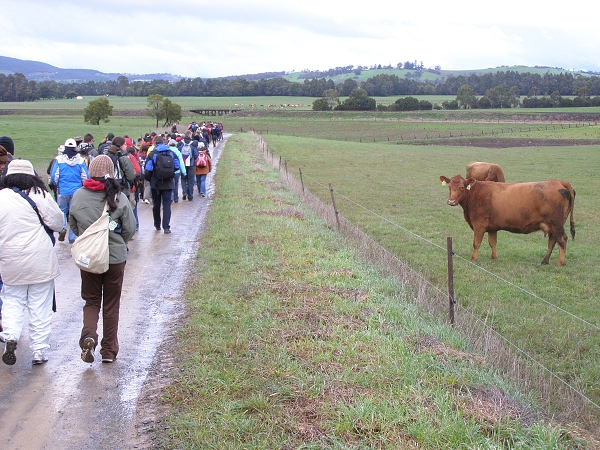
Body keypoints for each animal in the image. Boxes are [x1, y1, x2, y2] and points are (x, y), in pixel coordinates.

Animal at [438, 175, 576, 268]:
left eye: (462, 187)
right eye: (449, 187)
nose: (451, 201)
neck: (475, 193)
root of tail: (558, 182)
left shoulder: (479, 224)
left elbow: (476, 243)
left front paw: (473, 258)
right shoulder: (492, 227)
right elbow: (492, 243)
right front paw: (494, 257)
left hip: (556, 224)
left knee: (562, 240)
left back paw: (560, 263)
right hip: (553, 225)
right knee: (552, 241)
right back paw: (544, 261)